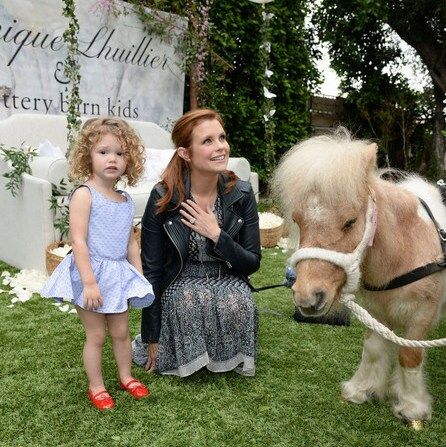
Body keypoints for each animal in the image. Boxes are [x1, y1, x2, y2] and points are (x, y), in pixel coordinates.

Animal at [272, 129, 446, 424]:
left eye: (351, 221)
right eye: (297, 220)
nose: (307, 297)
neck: (405, 251)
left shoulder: (421, 316)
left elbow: (409, 355)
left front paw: (412, 407)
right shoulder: (375, 312)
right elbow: (373, 348)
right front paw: (361, 390)